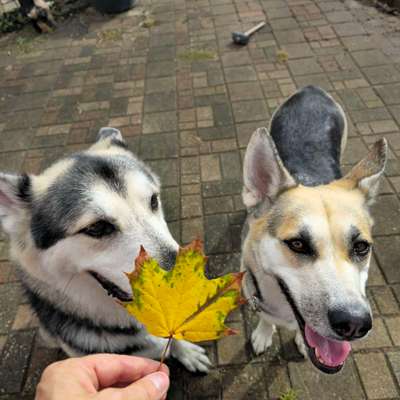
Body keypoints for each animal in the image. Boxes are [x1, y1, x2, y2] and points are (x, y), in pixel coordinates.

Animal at [241, 86, 388, 374]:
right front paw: (264, 333)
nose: (354, 324)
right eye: (297, 244)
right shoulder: (252, 293)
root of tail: (311, 89)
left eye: (361, 247)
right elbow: (265, 316)